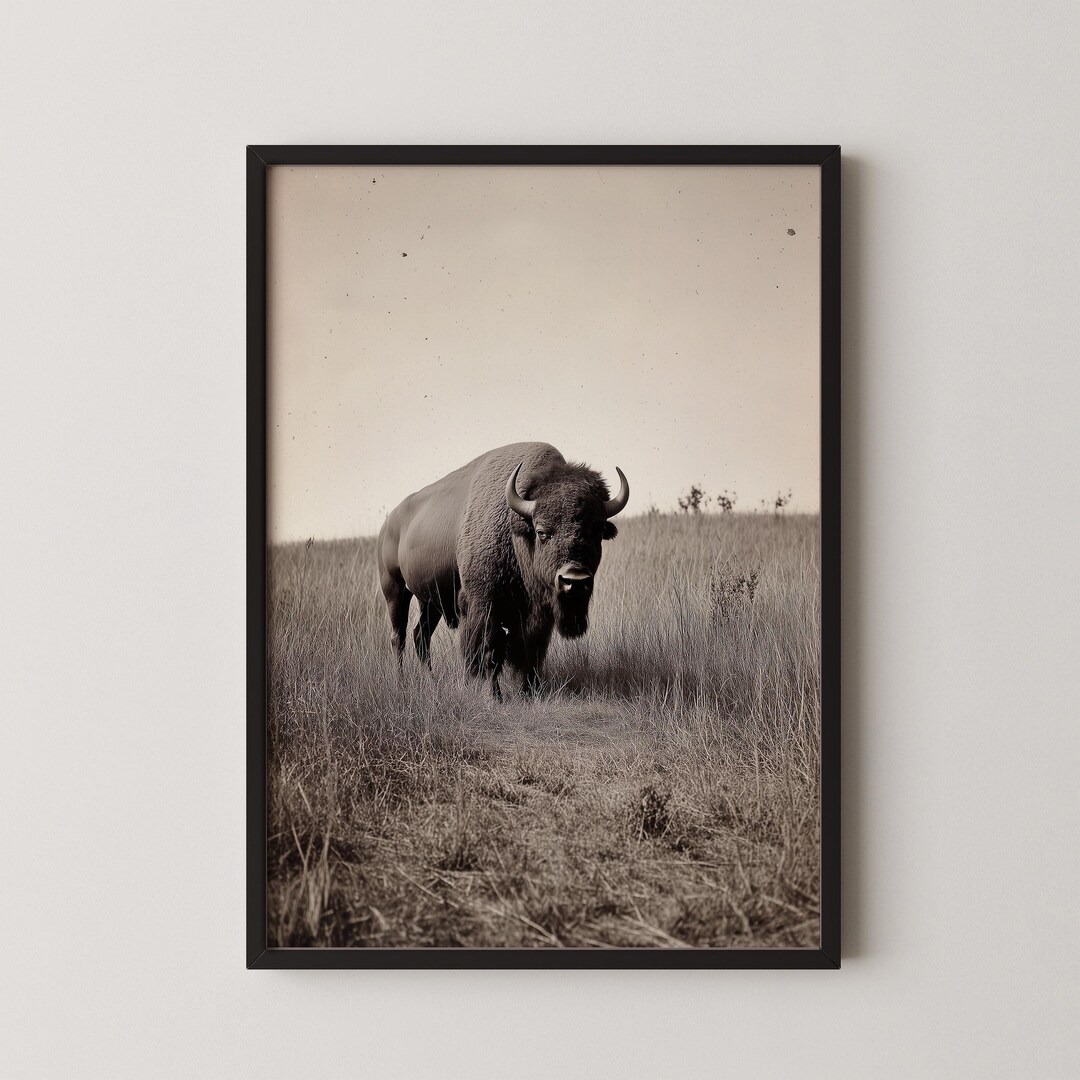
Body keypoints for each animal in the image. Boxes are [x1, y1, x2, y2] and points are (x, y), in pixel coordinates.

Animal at [377, 442, 629, 697]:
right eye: (542, 532)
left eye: (598, 531)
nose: (574, 580)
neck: (515, 529)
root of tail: (388, 523)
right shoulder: (485, 605)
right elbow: (490, 650)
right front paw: (492, 694)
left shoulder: (538, 614)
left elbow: (531, 651)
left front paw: (530, 691)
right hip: (395, 589)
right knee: (399, 636)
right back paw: (401, 680)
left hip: (429, 602)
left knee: (421, 635)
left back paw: (431, 679)